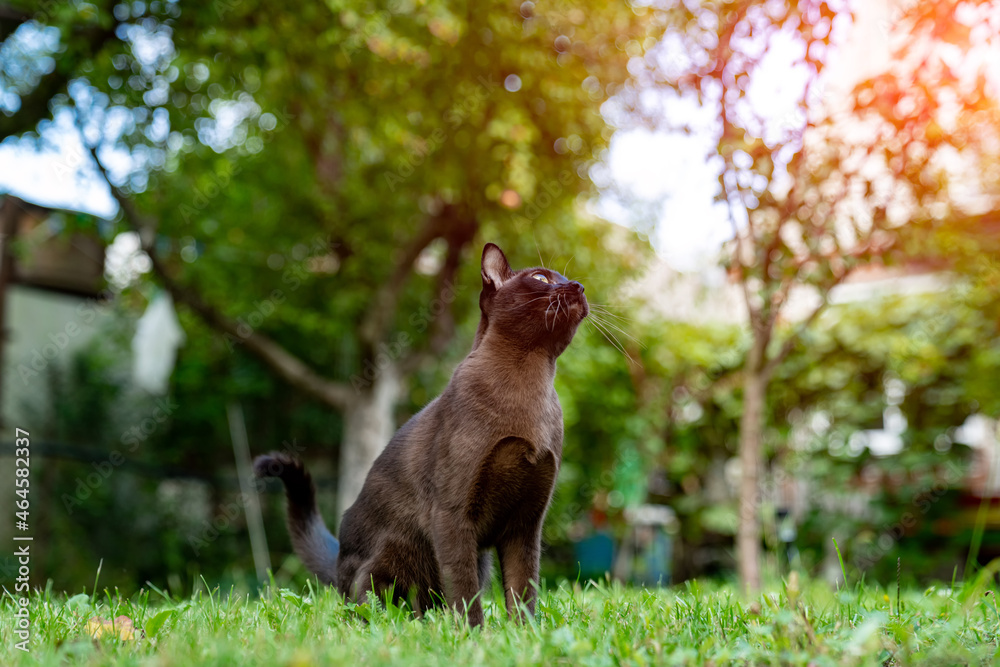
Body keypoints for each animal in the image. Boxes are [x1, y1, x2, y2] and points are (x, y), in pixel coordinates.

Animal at [254, 243, 588, 624]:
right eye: (541, 278)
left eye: (566, 278)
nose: (578, 286)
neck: (528, 381)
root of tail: (338, 563)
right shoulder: (452, 515)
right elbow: (465, 593)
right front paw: (475, 634)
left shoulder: (526, 524)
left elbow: (523, 591)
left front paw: (525, 634)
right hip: (382, 567)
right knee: (375, 610)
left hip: (479, 559)